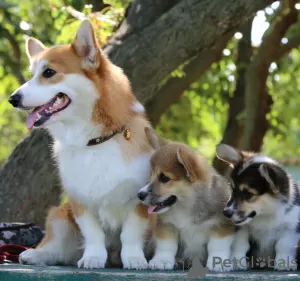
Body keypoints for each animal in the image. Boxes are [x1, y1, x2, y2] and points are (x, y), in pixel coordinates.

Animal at [8, 19, 155, 270]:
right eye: (31, 75)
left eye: (49, 73)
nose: (12, 99)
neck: (94, 141)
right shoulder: (79, 201)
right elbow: (93, 233)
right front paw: (93, 257)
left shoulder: (140, 201)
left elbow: (130, 233)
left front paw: (134, 258)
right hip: (58, 216)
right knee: (56, 247)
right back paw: (35, 254)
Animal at [137, 128, 233, 270]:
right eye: (151, 175)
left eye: (164, 178)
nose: (139, 195)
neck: (186, 205)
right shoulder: (167, 225)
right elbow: (167, 245)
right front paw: (162, 260)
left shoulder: (221, 225)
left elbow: (217, 246)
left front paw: (219, 263)